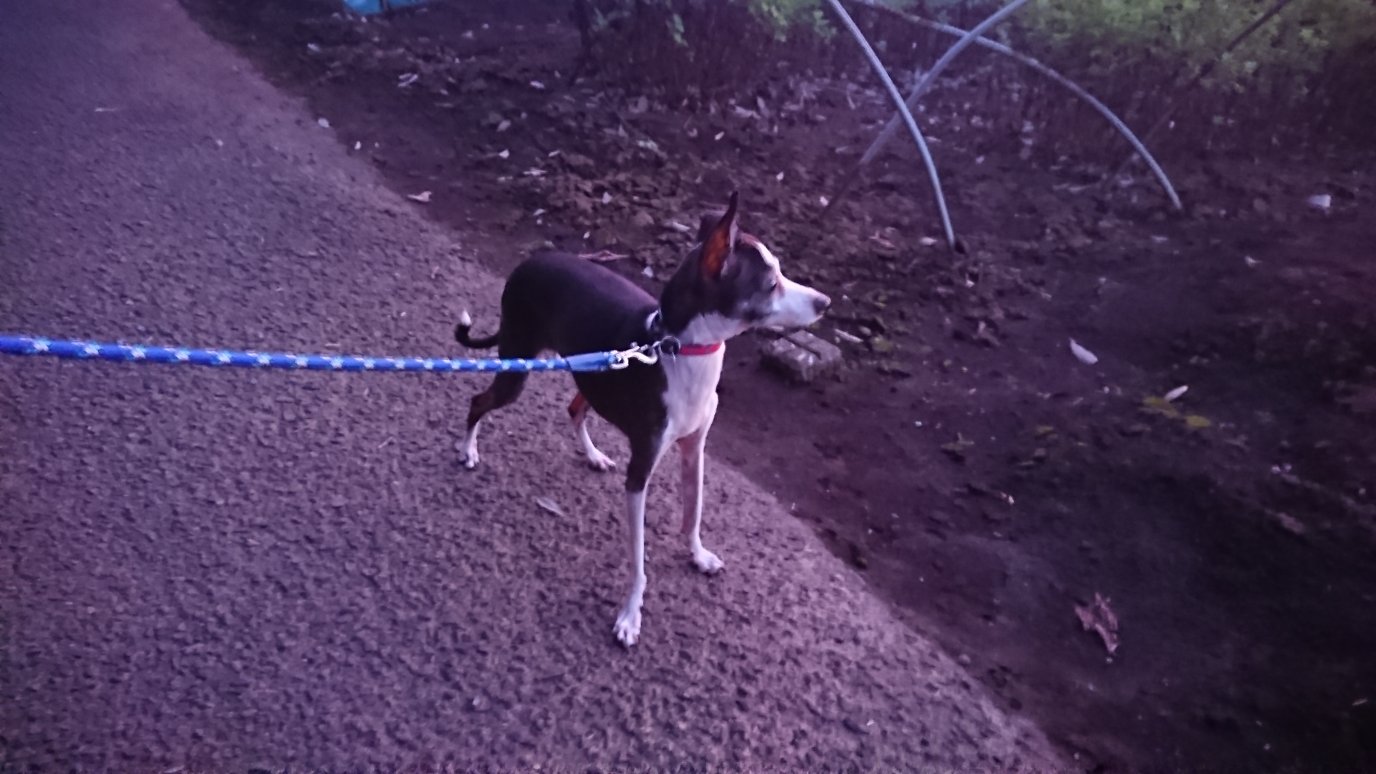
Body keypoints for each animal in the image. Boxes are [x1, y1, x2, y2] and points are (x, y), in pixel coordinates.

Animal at [454, 193, 830, 646]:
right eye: (770, 283)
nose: (825, 303)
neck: (679, 349)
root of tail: (527, 265)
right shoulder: (640, 475)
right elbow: (638, 559)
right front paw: (630, 614)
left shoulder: (694, 450)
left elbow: (693, 513)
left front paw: (698, 556)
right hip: (518, 369)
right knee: (479, 400)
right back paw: (468, 449)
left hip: (594, 370)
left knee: (575, 408)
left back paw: (593, 455)